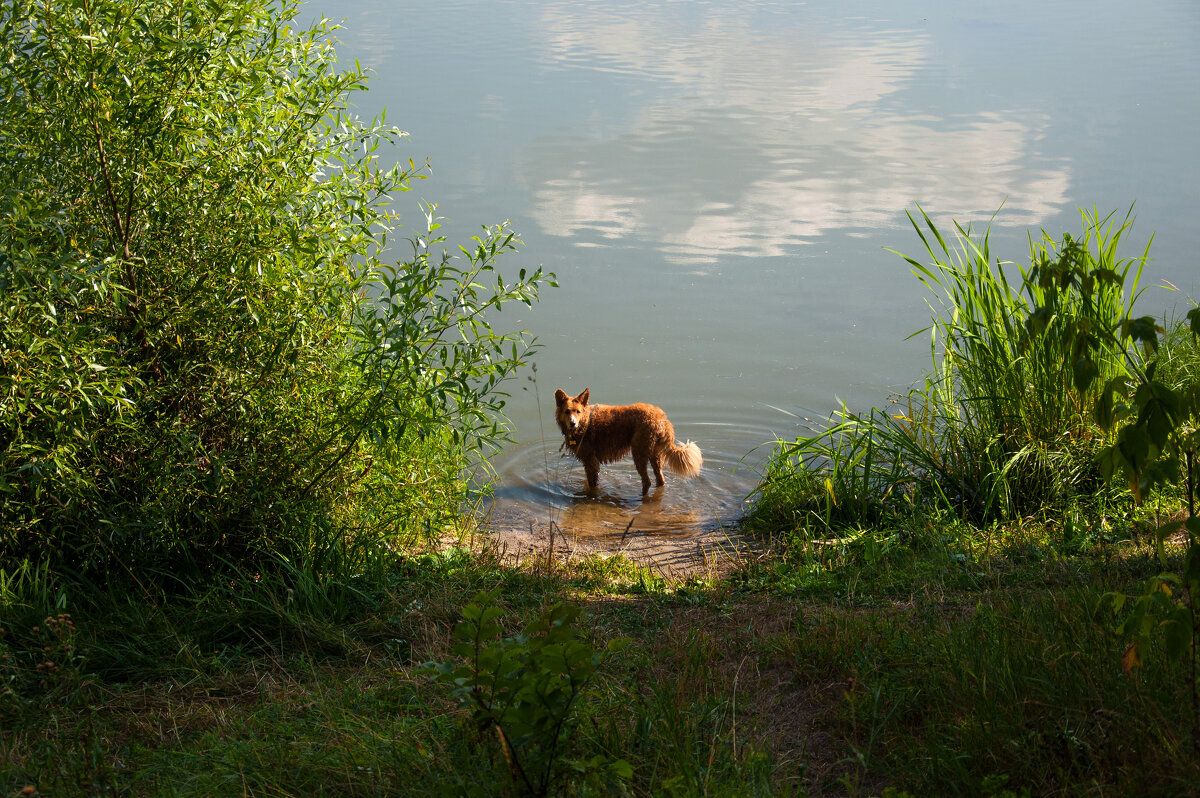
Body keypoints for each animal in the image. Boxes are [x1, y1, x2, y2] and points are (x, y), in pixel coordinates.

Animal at [554, 386, 700, 492]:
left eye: (578, 411)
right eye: (567, 411)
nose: (572, 423)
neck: (585, 423)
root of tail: (661, 419)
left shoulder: (591, 461)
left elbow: (592, 485)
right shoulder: (589, 462)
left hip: (639, 453)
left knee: (647, 481)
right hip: (655, 455)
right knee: (660, 480)